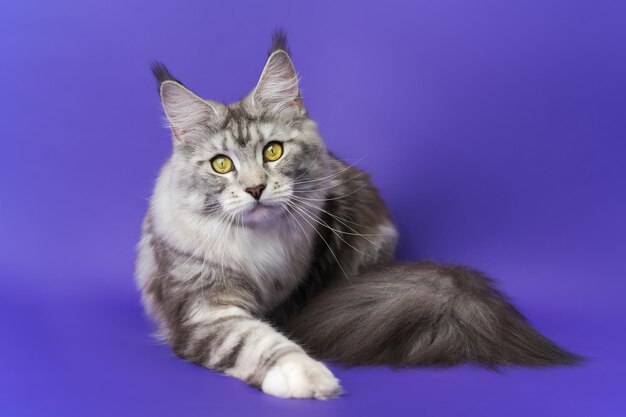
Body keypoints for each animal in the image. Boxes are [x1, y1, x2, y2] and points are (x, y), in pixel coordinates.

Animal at [134, 30, 576, 400]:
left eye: (273, 151)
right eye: (222, 164)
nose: (255, 189)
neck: (258, 242)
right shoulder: (204, 307)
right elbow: (253, 338)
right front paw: (305, 374)